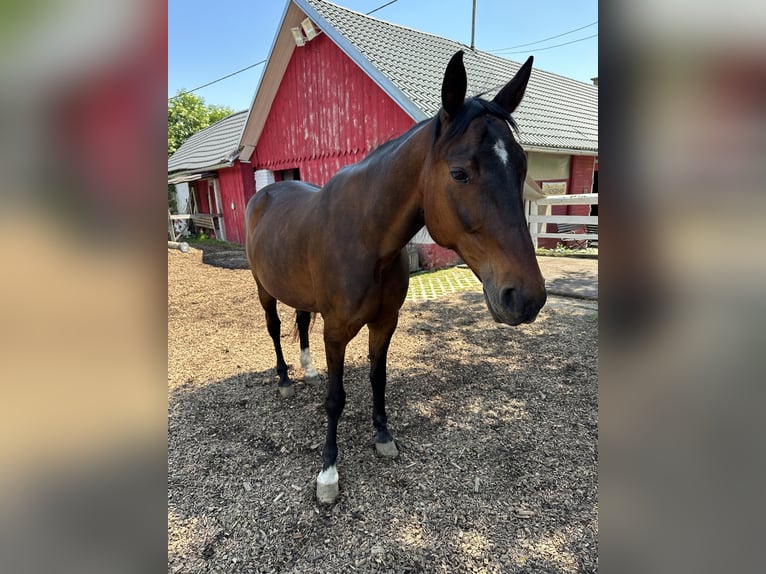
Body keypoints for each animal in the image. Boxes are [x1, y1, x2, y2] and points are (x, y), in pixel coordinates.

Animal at [246, 51, 544, 506]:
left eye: (523, 166)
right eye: (460, 173)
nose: (526, 297)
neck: (367, 237)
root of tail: (263, 194)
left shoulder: (385, 323)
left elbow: (378, 378)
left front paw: (383, 435)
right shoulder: (336, 330)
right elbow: (336, 398)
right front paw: (328, 472)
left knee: (299, 321)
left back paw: (307, 370)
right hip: (265, 289)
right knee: (276, 327)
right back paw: (284, 379)